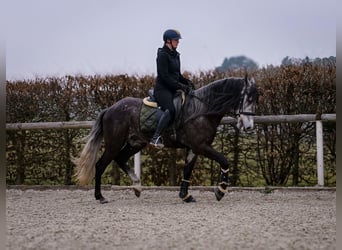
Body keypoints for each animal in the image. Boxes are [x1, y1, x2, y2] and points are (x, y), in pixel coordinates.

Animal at [73, 75, 258, 203]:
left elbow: (187, 170)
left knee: (120, 158)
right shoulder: (201, 146)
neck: (201, 110)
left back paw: (137, 186)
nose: (249, 127)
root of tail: (110, 109)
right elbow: (224, 160)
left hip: (136, 143)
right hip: (114, 143)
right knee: (100, 165)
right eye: (247, 99)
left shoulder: (193, 148)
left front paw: (185, 196)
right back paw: (100, 196)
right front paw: (220, 191)